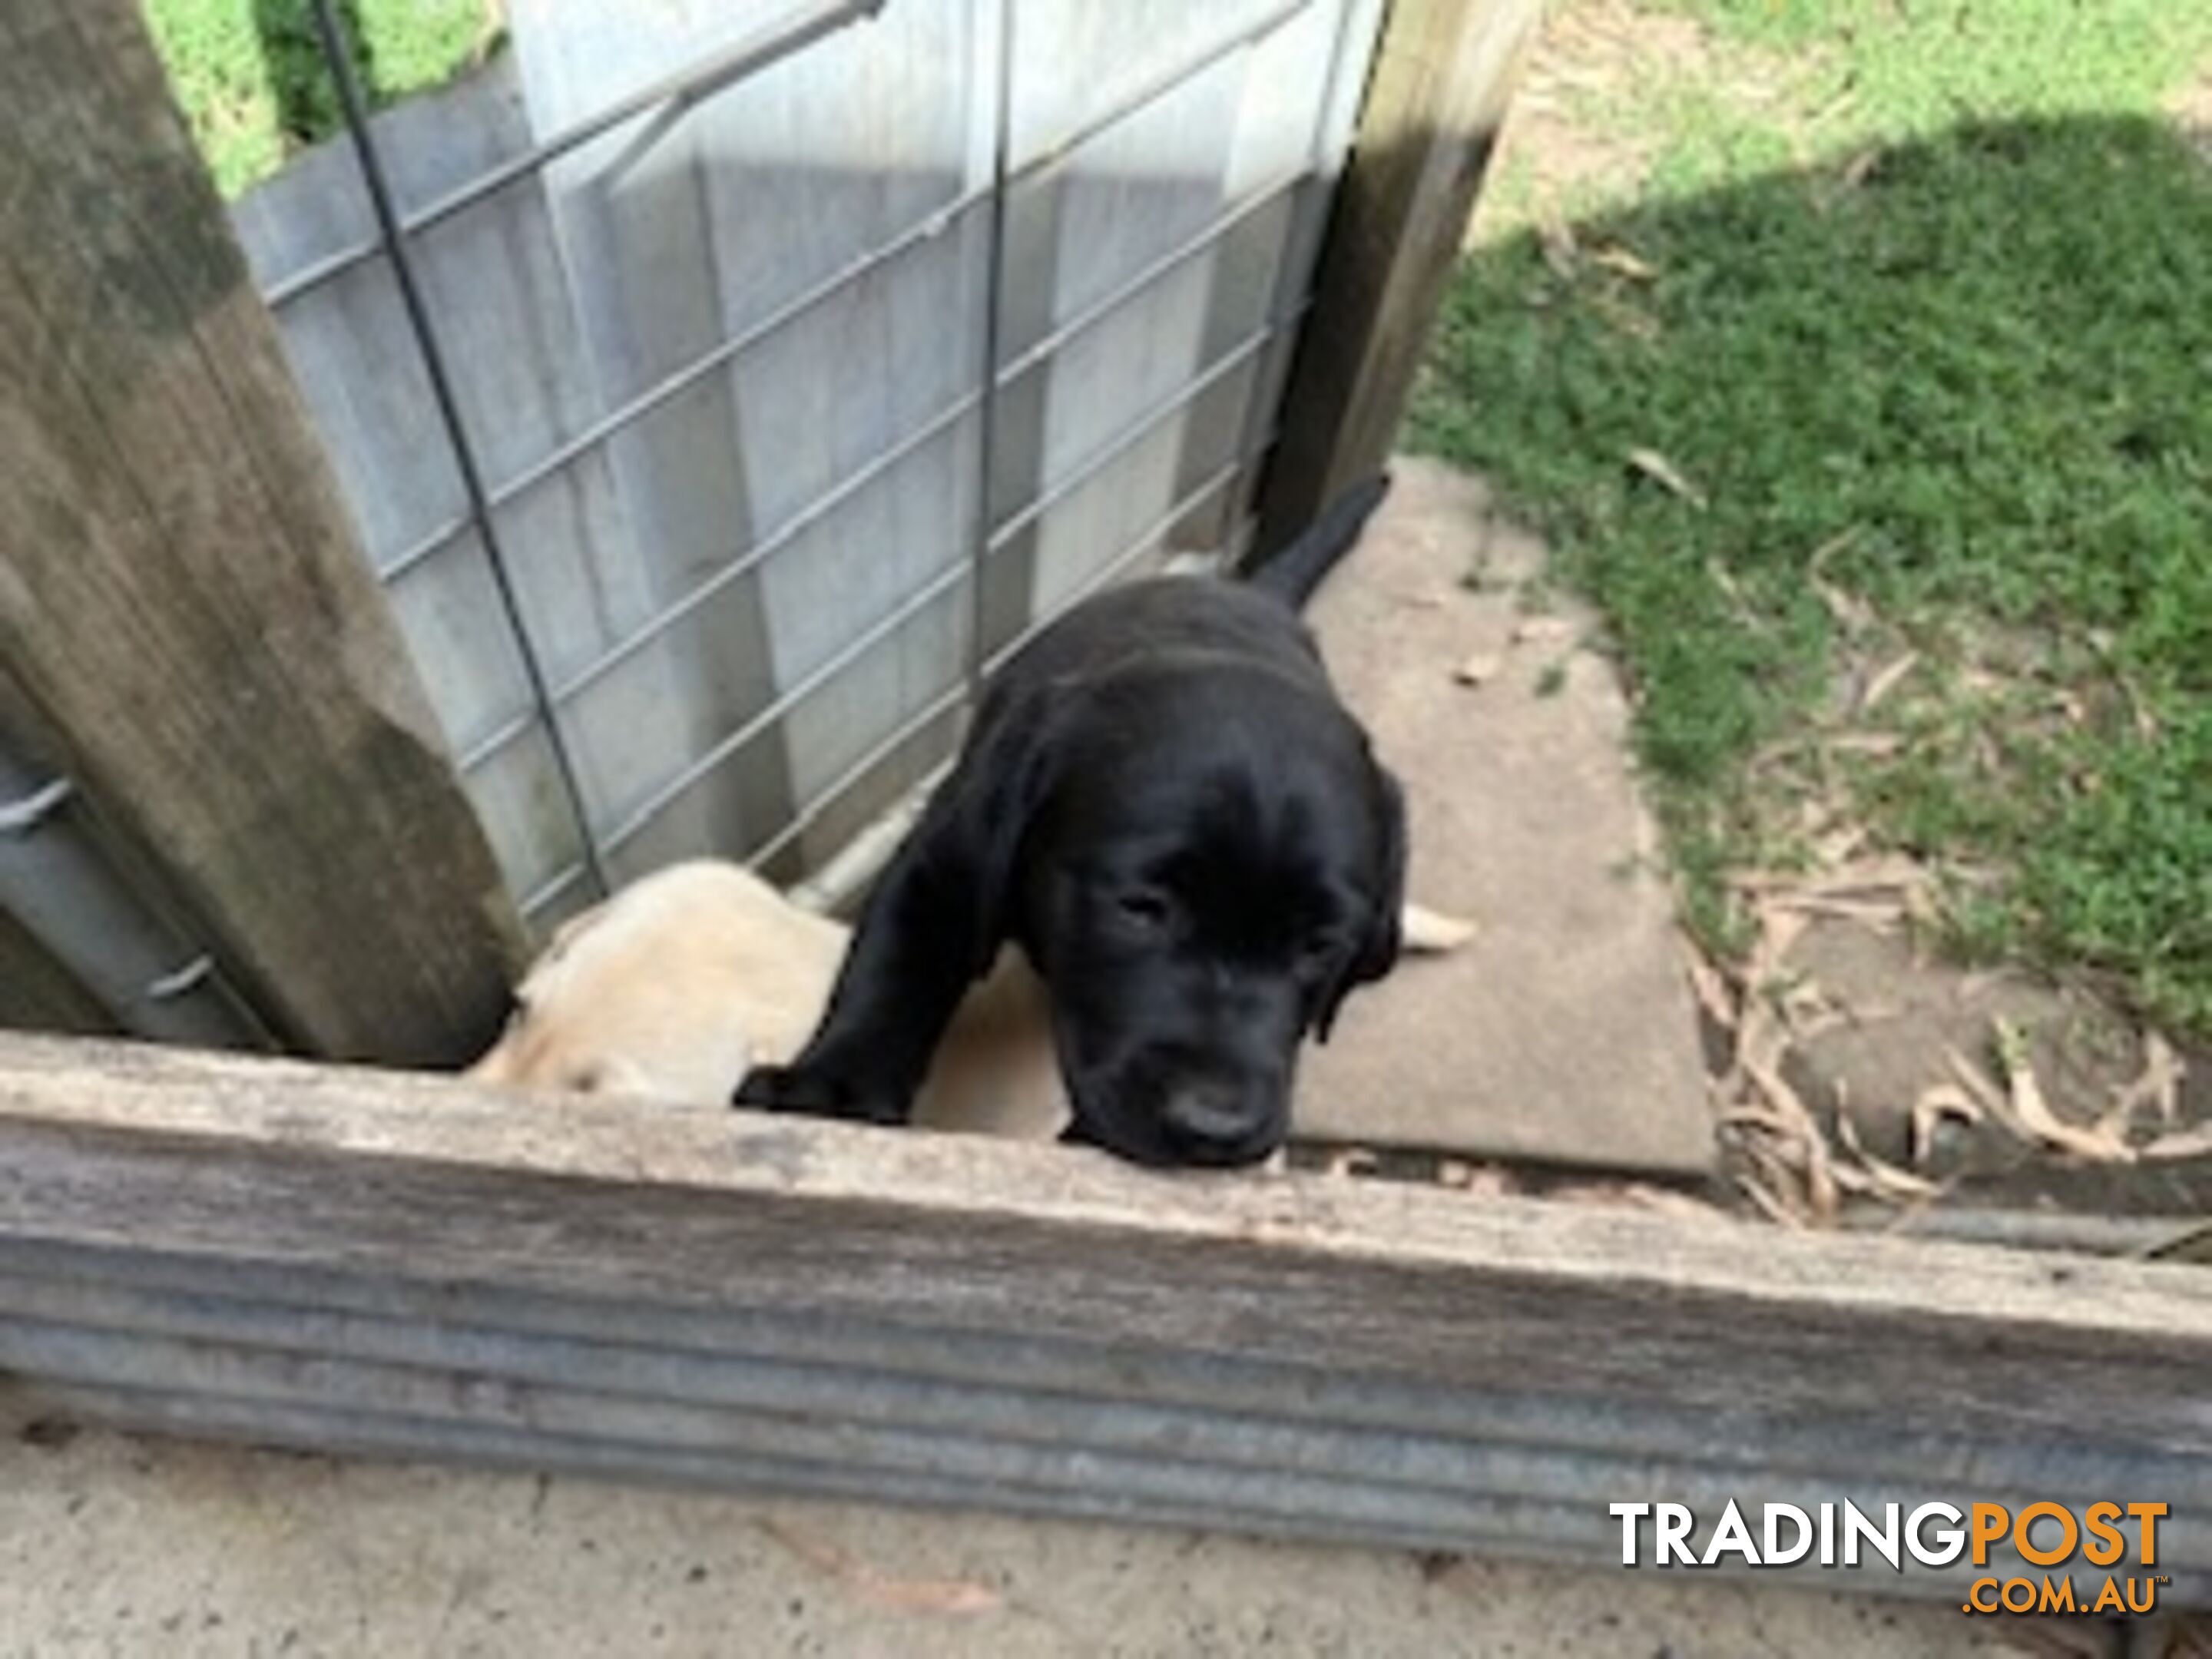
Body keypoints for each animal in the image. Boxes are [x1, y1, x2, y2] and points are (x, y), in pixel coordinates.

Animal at [738, 471, 1398, 1167]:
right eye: (1140, 908)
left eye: (1320, 945)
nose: (1215, 1129)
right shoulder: (945, 859)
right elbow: (892, 964)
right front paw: (829, 1089)